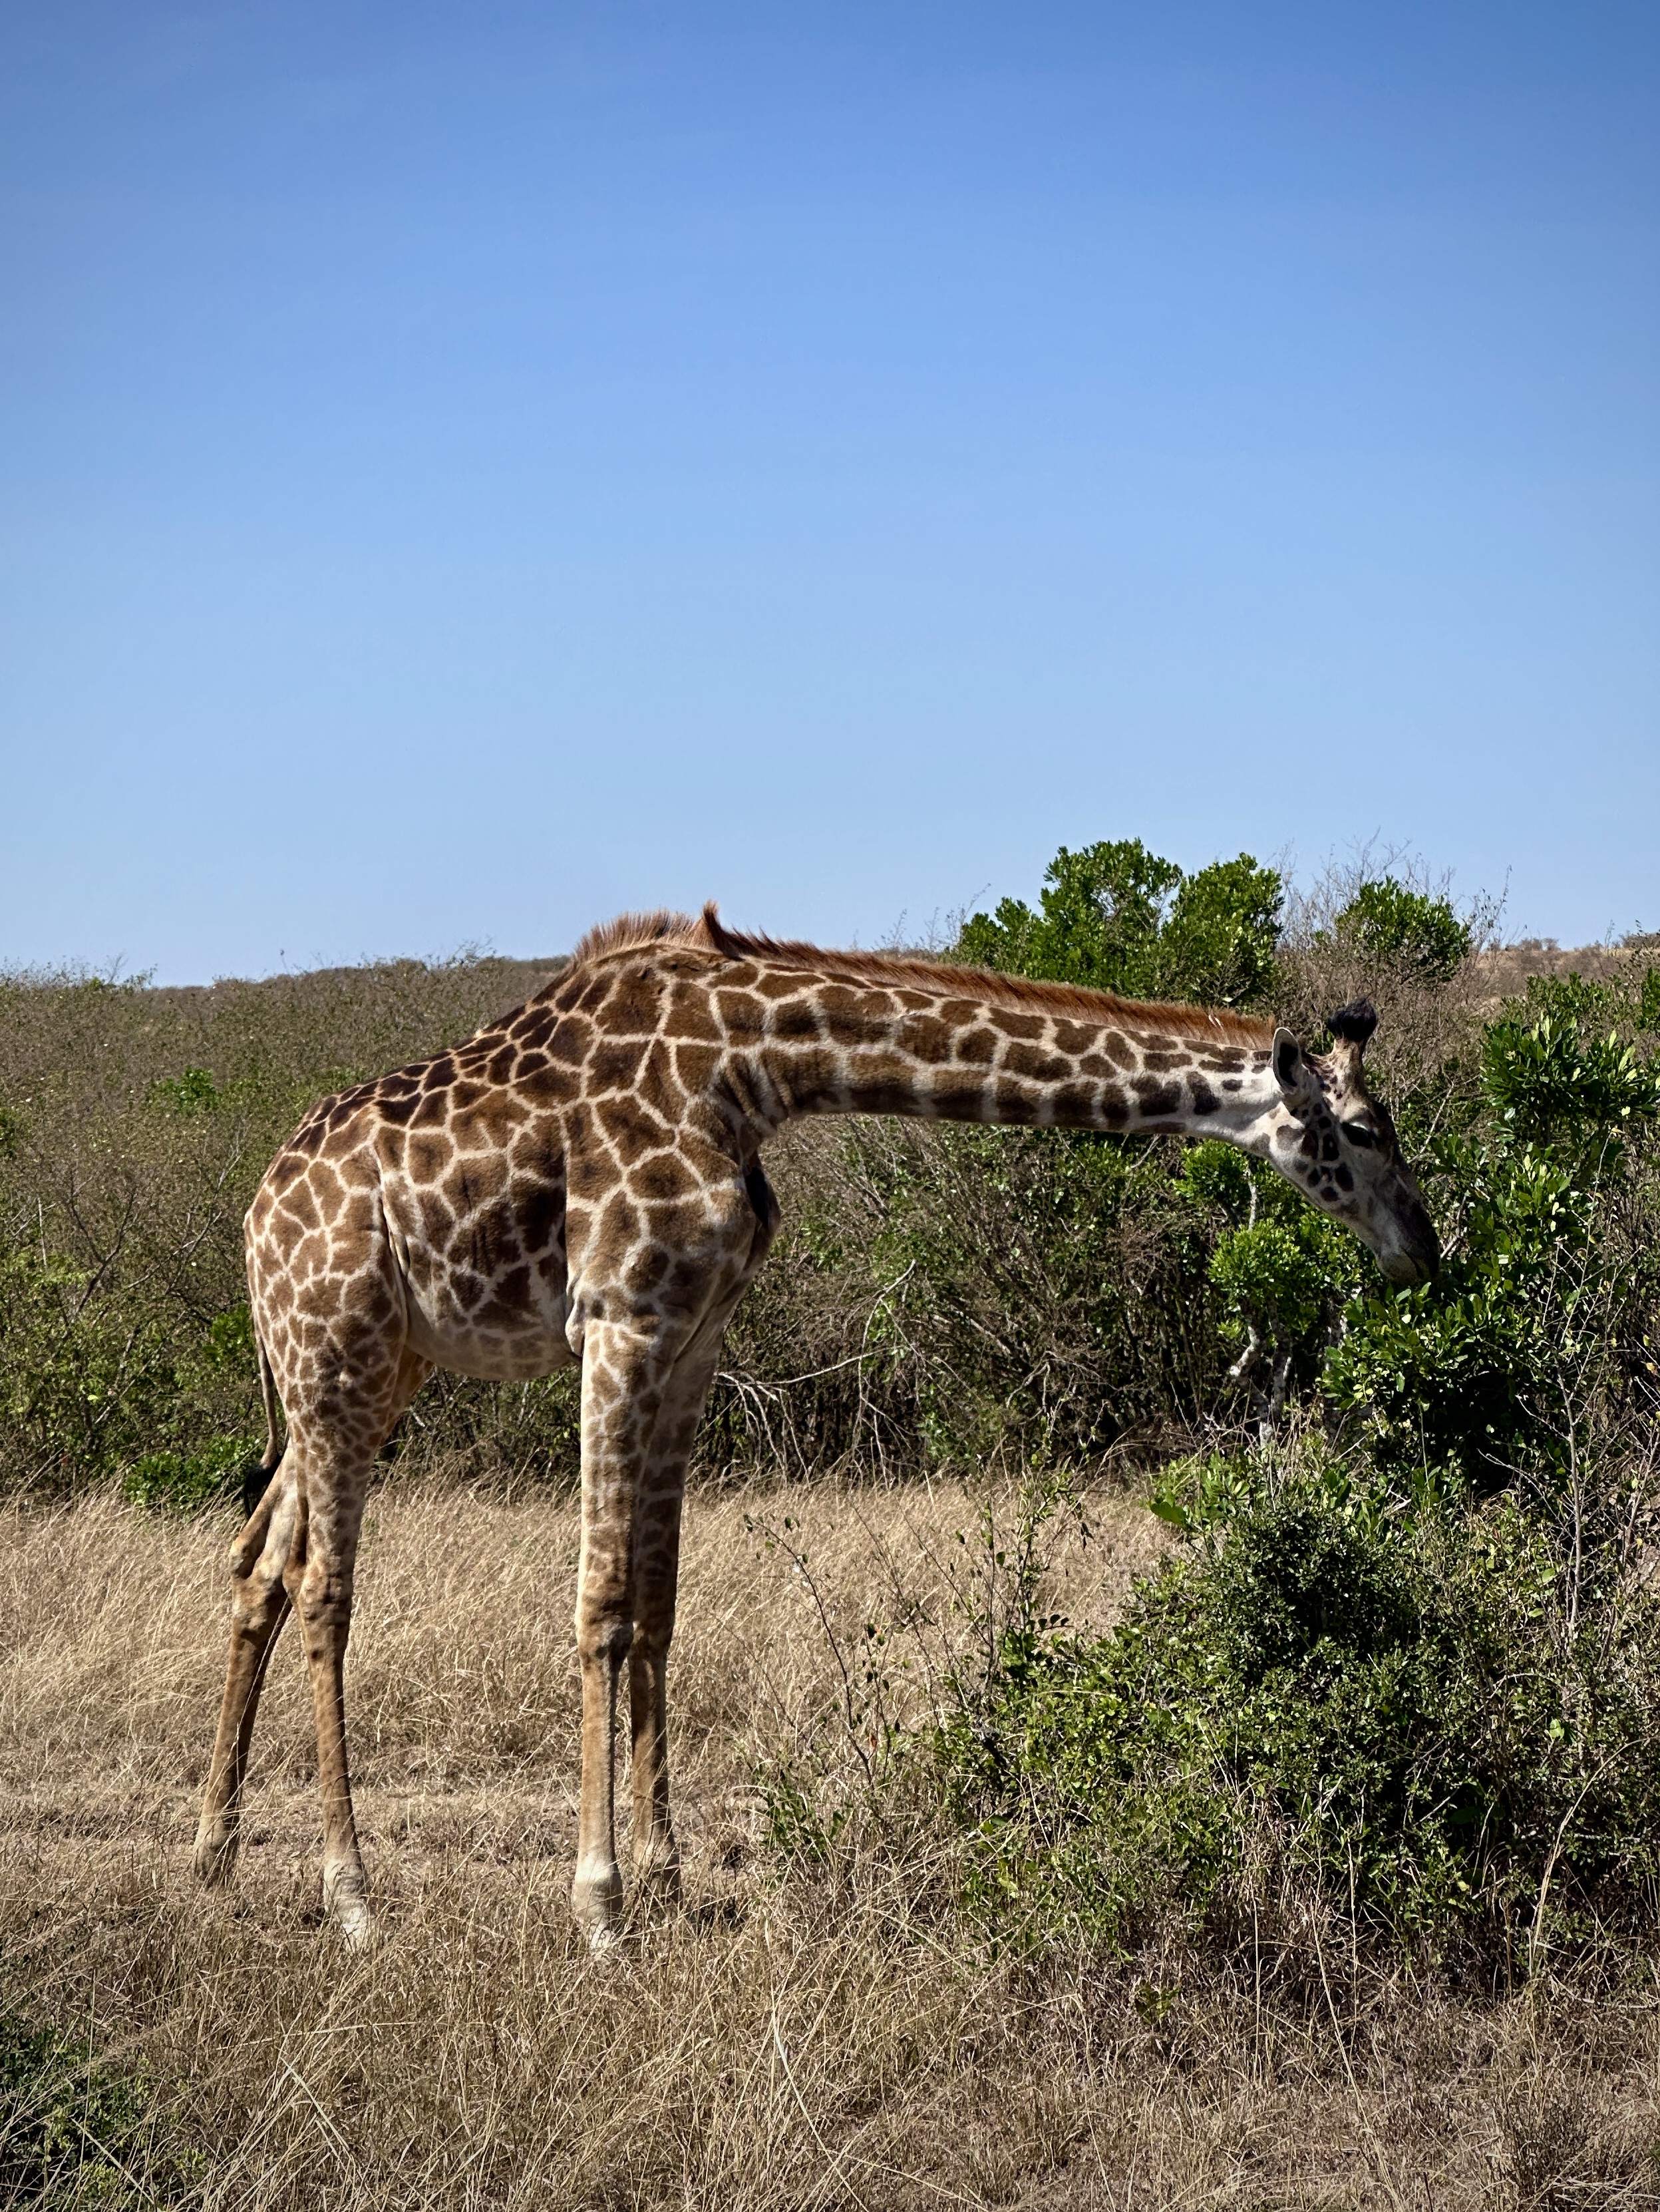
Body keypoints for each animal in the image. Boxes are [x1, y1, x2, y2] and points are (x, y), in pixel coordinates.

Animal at [193, 905, 1440, 1947]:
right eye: (1364, 1129)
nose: (1423, 1253)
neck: (754, 1065)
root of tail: (255, 1218)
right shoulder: (618, 1318)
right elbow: (600, 1606)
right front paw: (600, 1905)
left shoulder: (693, 1336)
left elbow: (658, 1608)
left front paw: (668, 1875)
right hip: (335, 1352)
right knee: (323, 1585)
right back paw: (351, 1895)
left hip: (372, 1368)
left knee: (258, 1563)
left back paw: (213, 1858)